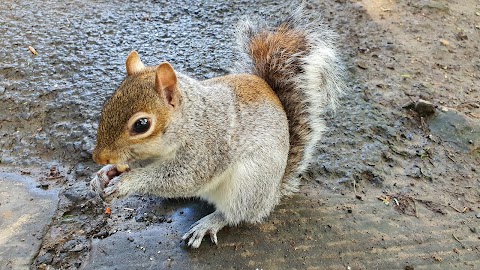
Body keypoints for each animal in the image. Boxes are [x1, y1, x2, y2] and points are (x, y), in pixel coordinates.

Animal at [91, 7, 344, 249]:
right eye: (107, 104)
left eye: (142, 124)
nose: (99, 157)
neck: (191, 119)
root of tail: (272, 194)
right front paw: (103, 175)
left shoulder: (206, 149)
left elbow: (181, 177)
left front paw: (126, 183)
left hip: (248, 183)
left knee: (236, 213)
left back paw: (209, 223)